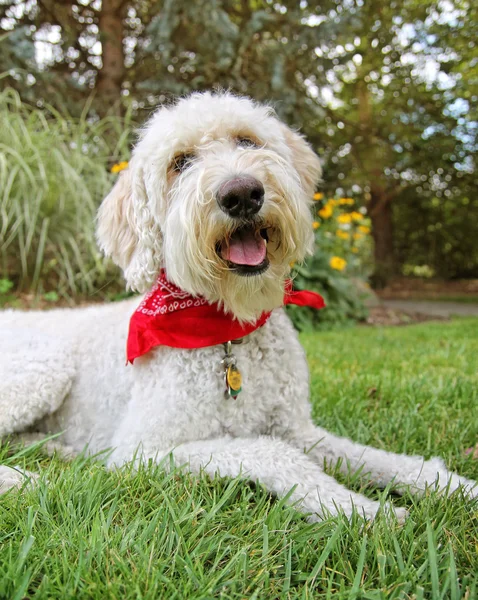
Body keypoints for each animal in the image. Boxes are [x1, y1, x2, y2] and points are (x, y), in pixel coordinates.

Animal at [0, 92, 476, 520]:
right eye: (180, 162)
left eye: (247, 140)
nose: (242, 193)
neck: (229, 331)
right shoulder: (143, 450)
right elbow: (272, 452)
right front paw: (356, 508)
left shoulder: (298, 428)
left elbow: (371, 456)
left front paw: (450, 486)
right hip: (45, 369)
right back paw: (21, 478)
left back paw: (56, 448)